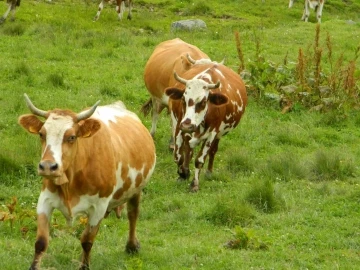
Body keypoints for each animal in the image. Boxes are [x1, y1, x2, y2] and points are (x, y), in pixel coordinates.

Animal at [18, 94, 155, 268]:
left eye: (71, 137)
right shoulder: (45, 200)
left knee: (133, 214)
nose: (48, 166)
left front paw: (85, 266)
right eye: (42, 134)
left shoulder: (99, 206)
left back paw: (131, 245)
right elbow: (41, 242)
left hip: (136, 189)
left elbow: (87, 240)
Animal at [165, 62, 248, 192]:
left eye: (203, 102)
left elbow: (199, 160)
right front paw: (183, 174)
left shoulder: (212, 133)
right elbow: (178, 156)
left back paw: (209, 172)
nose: (188, 125)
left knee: (213, 150)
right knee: (188, 150)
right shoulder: (179, 127)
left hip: (218, 134)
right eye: (183, 99)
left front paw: (194, 184)